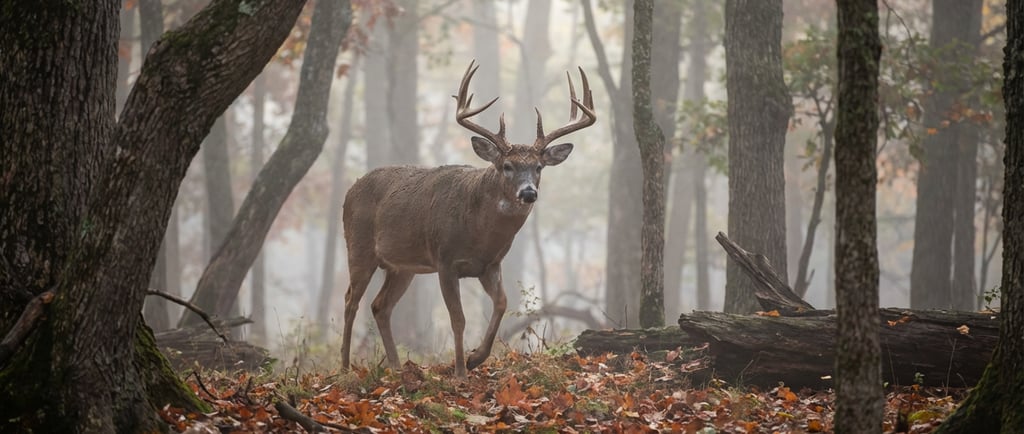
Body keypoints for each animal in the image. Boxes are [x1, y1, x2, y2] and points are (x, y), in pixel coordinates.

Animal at [340, 60, 596, 378]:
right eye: (507, 165)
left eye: (539, 167)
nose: (528, 192)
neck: (478, 230)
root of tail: (350, 190)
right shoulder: (445, 261)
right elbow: (458, 318)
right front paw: (460, 371)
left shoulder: (490, 265)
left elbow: (501, 304)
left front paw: (476, 358)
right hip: (359, 246)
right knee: (351, 300)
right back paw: (345, 367)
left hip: (402, 267)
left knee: (380, 306)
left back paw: (397, 368)